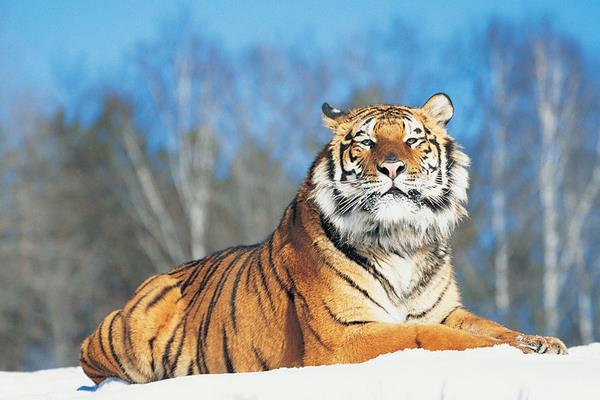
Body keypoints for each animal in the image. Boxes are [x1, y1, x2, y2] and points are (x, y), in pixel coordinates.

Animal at [81, 94, 568, 384]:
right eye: (366, 142)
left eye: (414, 140)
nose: (393, 167)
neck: (401, 240)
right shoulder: (345, 335)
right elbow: (430, 337)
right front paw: (513, 351)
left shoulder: (446, 310)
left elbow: (488, 325)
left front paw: (542, 341)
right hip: (131, 328)